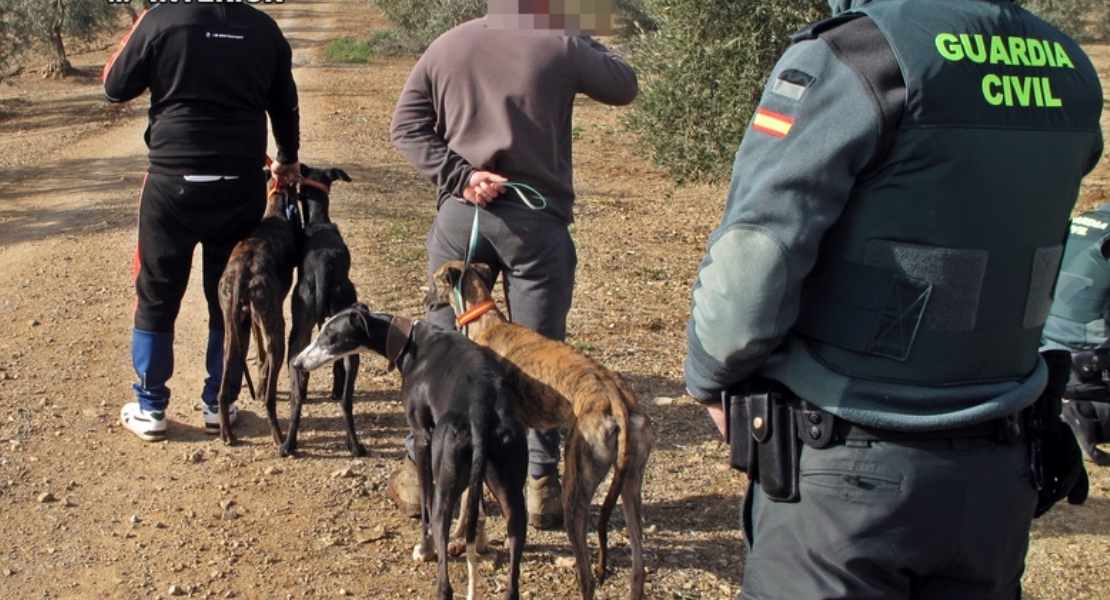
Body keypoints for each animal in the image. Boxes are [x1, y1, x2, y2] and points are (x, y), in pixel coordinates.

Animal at [215, 177, 299, 443]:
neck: (275, 211)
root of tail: (243, 273)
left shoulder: (252, 318)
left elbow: (260, 351)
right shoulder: (270, 313)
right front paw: (262, 385)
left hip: (230, 332)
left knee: (221, 391)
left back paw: (226, 433)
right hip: (277, 330)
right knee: (270, 401)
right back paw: (280, 438)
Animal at [421, 259, 648, 598]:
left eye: (435, 281)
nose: (425, 302)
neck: (488, 323)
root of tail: (614, 394)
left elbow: (469, 501)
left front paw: (461, 536)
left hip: (577, 483)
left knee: (586, 576)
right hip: (632, 484)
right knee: (637, 571)